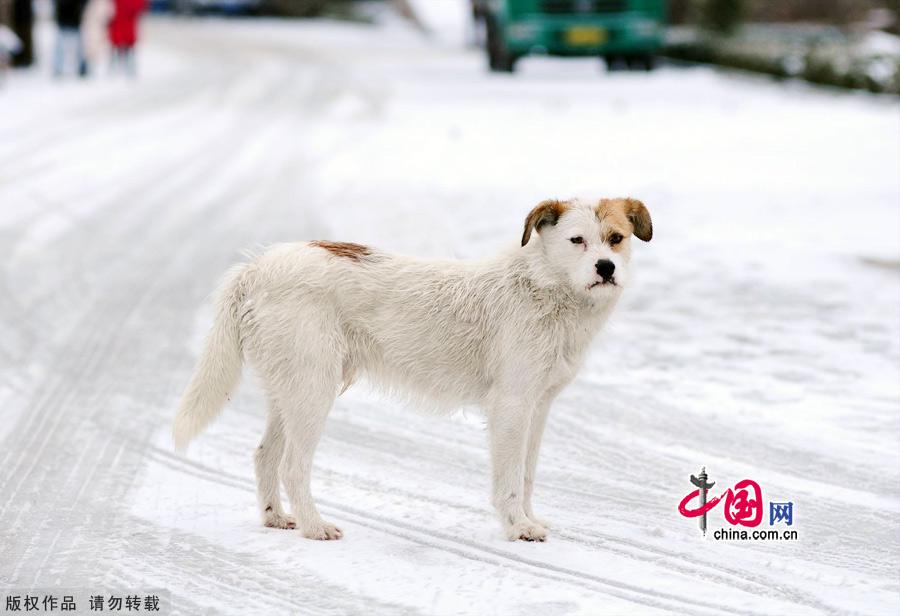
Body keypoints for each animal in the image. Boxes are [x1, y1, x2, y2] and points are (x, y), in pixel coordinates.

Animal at [172, 197, 652, 540]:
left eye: (616, 238)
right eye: (576, 240)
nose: (606, 267)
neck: (545, 287)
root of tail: (258, 266)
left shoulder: (538, 407)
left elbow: (527, 474)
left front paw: (529, 518)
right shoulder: (511, 407)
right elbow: (510, 477)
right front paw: (517, 527)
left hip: (288, 393)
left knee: (264, 456)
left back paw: (276, 519)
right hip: (313, 393)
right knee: (293, 465)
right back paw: (314, 526)